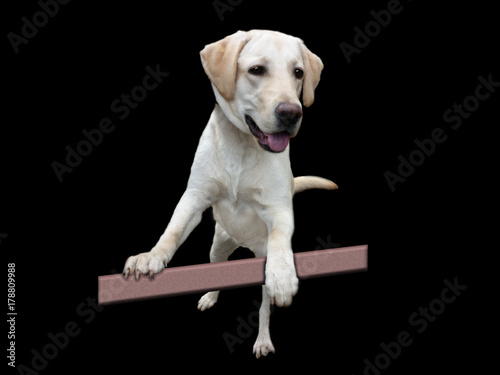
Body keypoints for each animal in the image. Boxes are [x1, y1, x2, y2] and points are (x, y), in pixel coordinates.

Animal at [123, 30, 338, 358]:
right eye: (257, 70)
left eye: (298, 73)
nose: (291, 113)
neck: (243, 144)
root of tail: (244, 245)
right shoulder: (194, 198)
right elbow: (173, 230)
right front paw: (151, 256)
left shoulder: (279, 210)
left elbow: (279, 239)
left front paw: (283, 275)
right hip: (218, 245)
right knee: (217, 268)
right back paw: (210, 296)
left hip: (260, 267)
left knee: (264, 308)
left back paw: (263, 339)